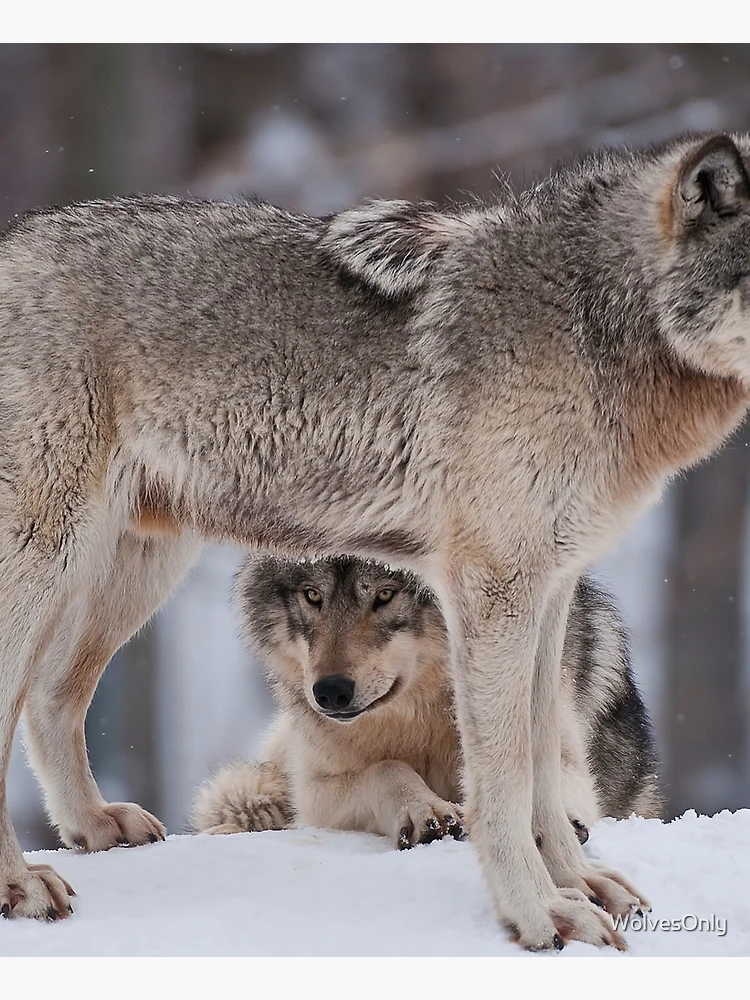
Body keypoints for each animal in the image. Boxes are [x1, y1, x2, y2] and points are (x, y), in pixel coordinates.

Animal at [192, 555, 661, 854]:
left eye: (385, 594)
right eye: (312, 595)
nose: (330, 692)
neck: (422, 714)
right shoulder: (316, 792)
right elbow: (387, 768)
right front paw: (425, 810)